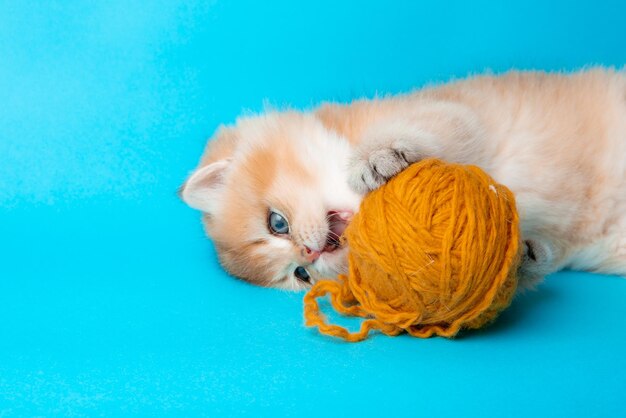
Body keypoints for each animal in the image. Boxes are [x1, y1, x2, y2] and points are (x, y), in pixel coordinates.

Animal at [179, 68, 624, 290]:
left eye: (276, 223)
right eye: (300, 276)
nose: (309, 255)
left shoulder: (455, 112)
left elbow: (438, 128)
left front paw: (378, 157)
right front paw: (520, 259)